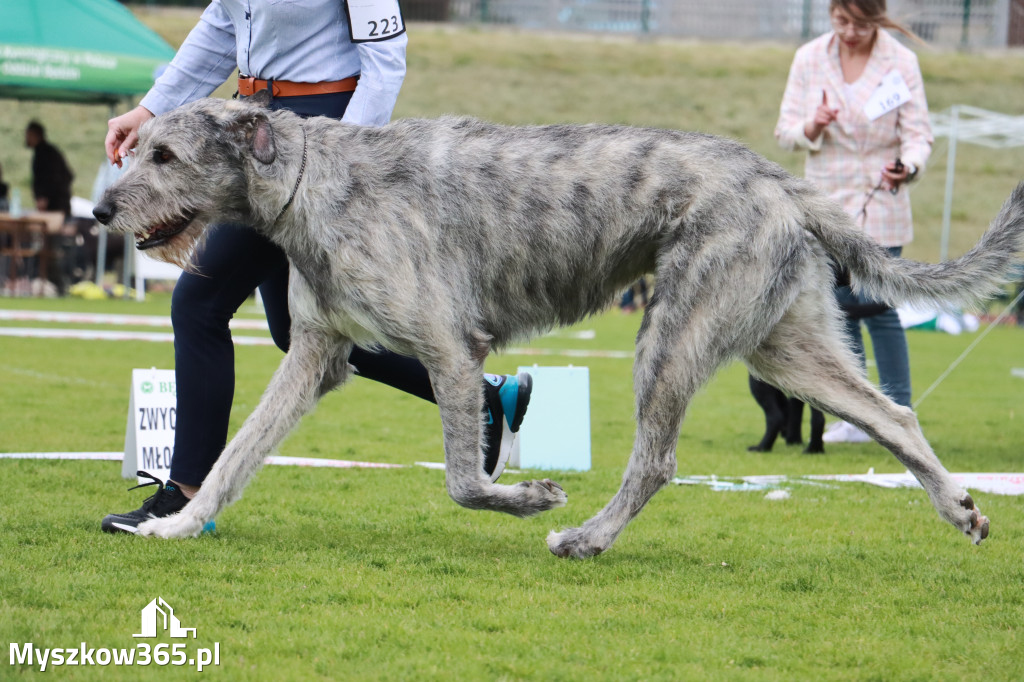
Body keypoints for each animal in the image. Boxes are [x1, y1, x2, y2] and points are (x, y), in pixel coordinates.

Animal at [749, 266, 892, 450]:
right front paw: (793, 439)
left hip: (759, 382)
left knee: (775, 417)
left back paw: (762, 447)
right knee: (814, 415)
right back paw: (811, 447)